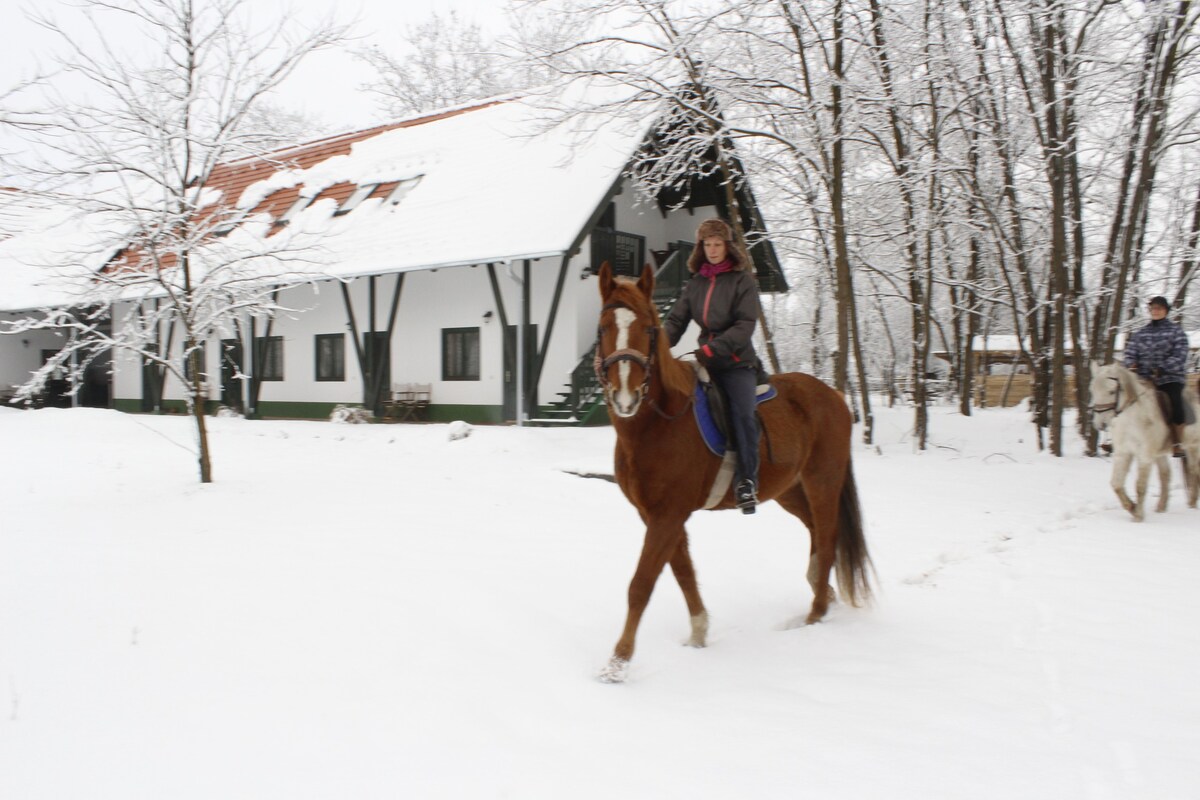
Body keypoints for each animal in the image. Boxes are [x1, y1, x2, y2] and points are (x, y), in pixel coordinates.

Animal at [592, 262, 868, 681]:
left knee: (827, 533)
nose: (625, 396)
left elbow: (641, 584)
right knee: (818, 534)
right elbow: (683, 571)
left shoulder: (667, 515)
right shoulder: (656, 514)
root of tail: (834, 397)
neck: (658, 425)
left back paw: (815, 613)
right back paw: (823, 593)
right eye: (604, 326)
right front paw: (698, 635)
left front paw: (618, 662)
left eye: (648, 328)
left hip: (822, 481)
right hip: (790, 490)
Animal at [1089, 362, 1200, 522]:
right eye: (1093, 390)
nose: (1101, 424)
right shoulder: (1123, 453)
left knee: (1193, 472)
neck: (1132, 417)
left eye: (1111, 391)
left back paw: (1191, 504)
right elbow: (1116, 484)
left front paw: (1138, 515)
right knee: (1165, 475)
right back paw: (1161, 508)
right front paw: (1132, 507)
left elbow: (1140, 486)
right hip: (1160, 454)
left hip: (1193, 448)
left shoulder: (1144, 456)